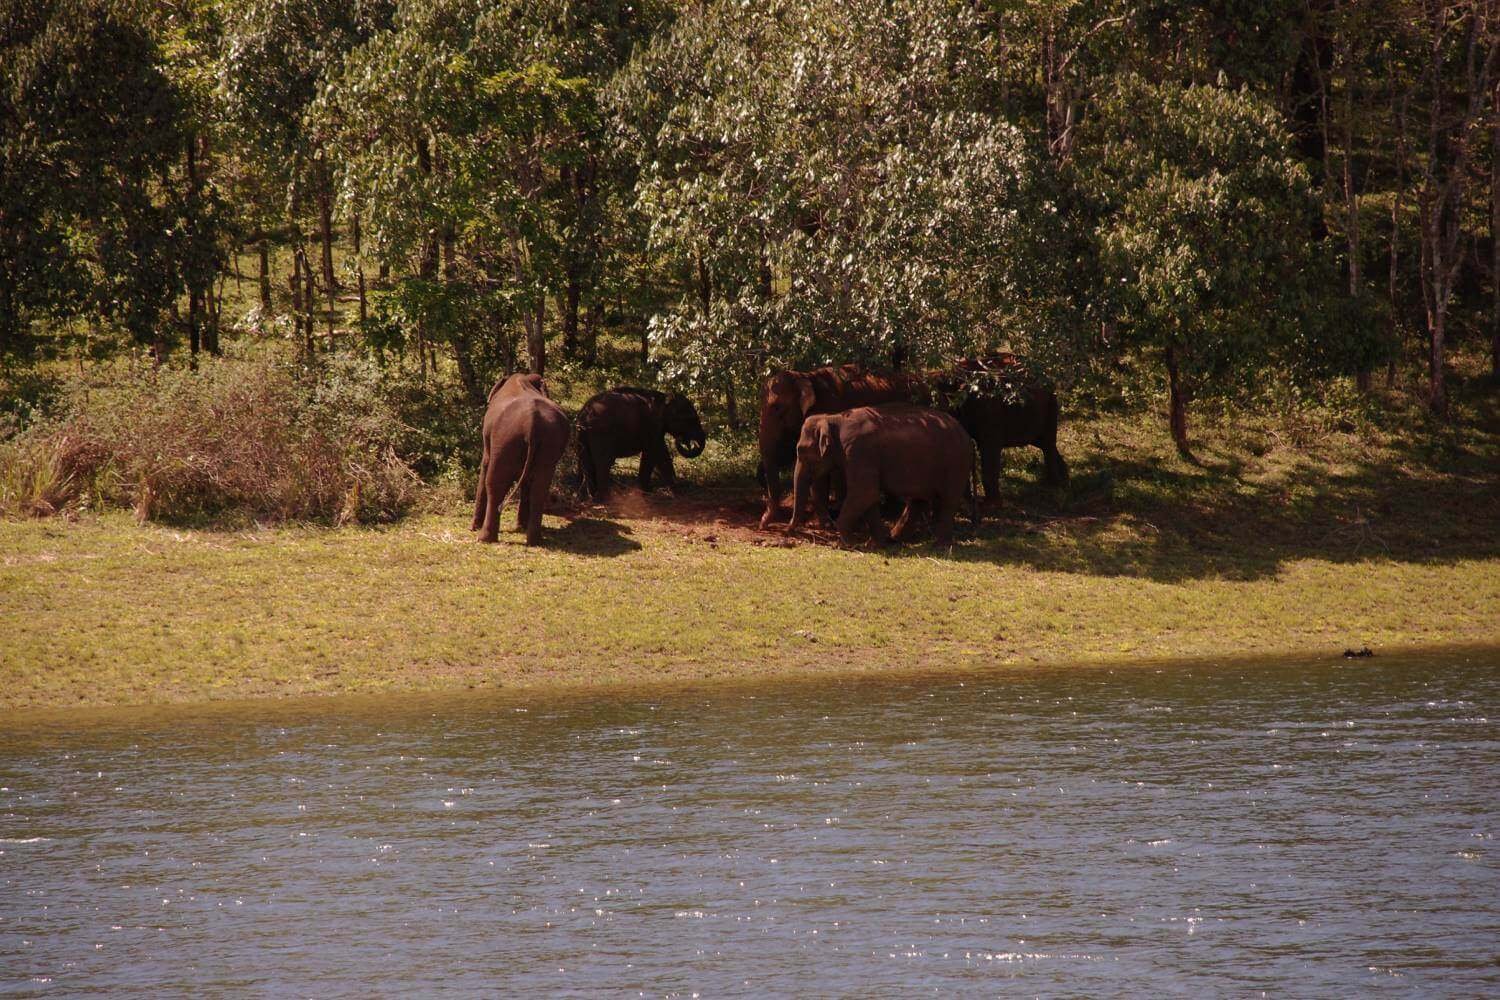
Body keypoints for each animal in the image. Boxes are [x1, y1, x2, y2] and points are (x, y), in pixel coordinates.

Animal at [468, 373, 567, 548]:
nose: (472, 528)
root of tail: (532, 421)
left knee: (495, 483)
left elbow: (485, 463)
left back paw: (483, 538)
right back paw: (534, 541)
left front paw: (473, 528)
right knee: (539, 488)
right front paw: (521, 527)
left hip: (505, 439)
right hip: (548, 444)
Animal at [576, 389, 711, 503]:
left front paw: (648, 492)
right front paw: (673, 491)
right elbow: (656, 452)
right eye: (690, 419)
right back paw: (604, 499)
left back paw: (589, 497)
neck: (663, 397)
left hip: (582, 435)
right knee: (603, 462)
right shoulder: (652, 426)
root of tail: (584, 414)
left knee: (586, 461)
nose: (682, 440)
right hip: (601, 432)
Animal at [786, 401, 972, 548]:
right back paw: (894, 539)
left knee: (948, 501)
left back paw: (940, 546)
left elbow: (865, 493)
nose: (789, 531)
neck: (834, 418)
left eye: (801, 451)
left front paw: (846, 545)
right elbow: (869, 498)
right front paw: (875, 544)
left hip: (956, 463)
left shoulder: (859, 450)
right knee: (918, 502)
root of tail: (964, 432)